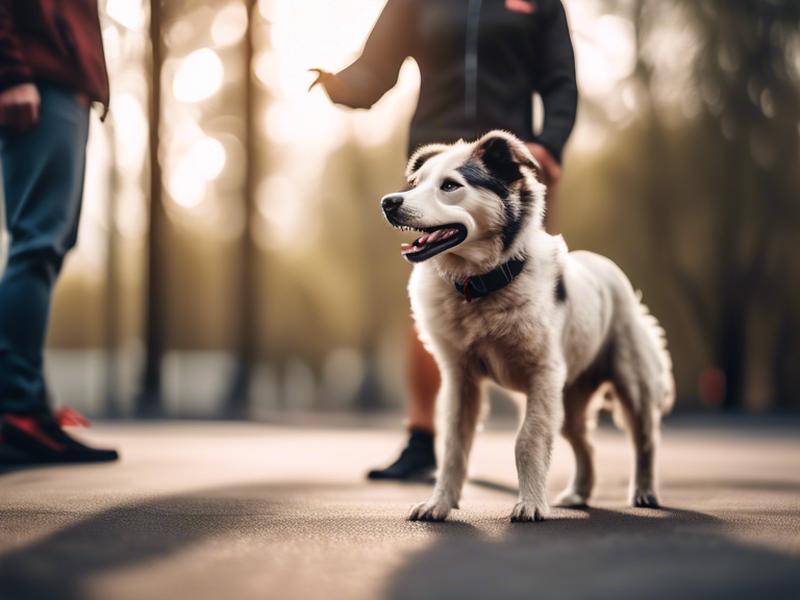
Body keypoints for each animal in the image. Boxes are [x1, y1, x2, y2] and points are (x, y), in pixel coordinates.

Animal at [382, 131, 676, 520]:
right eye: (415, 183)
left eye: (450, 185)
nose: (388, 202)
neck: (481, 286)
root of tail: (611, 271)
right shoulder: (461, 378)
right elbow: (454, 446)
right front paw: (439, 503)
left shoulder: (543, 376)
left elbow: (528, 439)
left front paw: (531, 504)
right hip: (568, 400)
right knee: (588, 446)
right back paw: (578, 493)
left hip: (632, 384)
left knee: (646, 441)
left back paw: (644, 492)